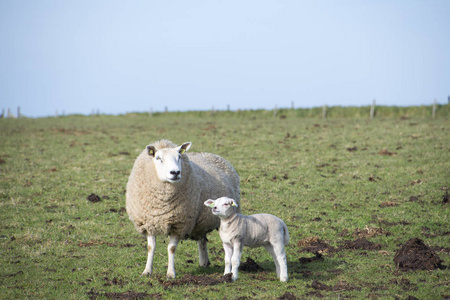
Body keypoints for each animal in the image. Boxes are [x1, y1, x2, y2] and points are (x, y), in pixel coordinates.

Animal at [125, 139, 241, 278]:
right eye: (158, 158)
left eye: (179, 157)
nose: (175, 173)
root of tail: (212, 154)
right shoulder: (149, 222)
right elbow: (150, 248)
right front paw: (147, 271)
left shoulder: (179, 224)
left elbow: (171, 249)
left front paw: (170, 273)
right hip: (201, 221)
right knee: (202, 239)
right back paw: (204, 262)